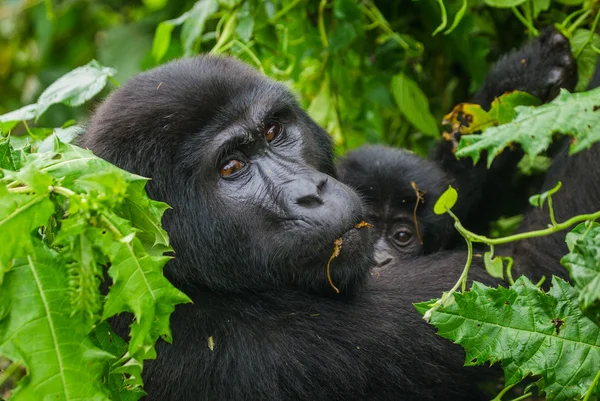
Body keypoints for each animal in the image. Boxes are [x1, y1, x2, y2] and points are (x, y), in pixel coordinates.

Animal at [79, 54, 596, 400]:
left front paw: (517, 81)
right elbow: (533, 264)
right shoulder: (242, 341)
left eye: (273, 132)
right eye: (231, 167)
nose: (314, 191)